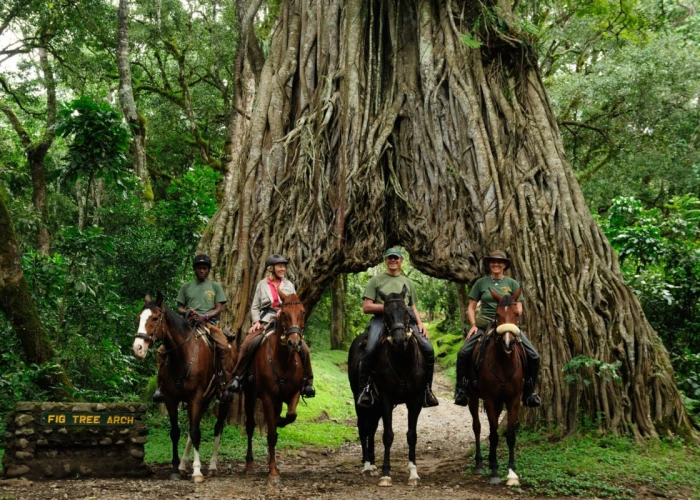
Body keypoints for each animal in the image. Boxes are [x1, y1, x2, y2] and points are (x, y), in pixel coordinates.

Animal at [132, 292, 238, 484]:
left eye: (155, 318)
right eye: (139, 318)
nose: (137, 348)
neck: (182, 357)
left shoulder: (195, 397)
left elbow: (196, 432)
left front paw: (197, 472)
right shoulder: (171, 399)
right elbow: (176, 432)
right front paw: (176, 468)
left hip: (222, 399)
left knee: (217, 427)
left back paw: (212, 466)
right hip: (204, 400)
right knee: (191, 428)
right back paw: (183, 464)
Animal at [242, 292, 304, 482]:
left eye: (303, 312)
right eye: (283, 313)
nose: (294, 343)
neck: (283, 360)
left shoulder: (294, 393)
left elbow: (291, 416)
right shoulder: (268, 397)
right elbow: (271, 434)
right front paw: (273, 472)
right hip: (249, 394)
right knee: (250, 425)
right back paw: (249, 464)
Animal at [348, 288, 426, 486]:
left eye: (406, 311)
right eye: (386, 314)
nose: (399, 340)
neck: (402, 360)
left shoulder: (415, 399)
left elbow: (412, 435)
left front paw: (413, 473)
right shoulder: (385, 398)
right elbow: (388, 435)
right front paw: (385, 473)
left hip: (375, 405)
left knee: (371, 427)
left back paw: (373, 462)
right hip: (360, 399)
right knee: (363, 427)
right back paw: (367, 466)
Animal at [468, 288, 524, 486]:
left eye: (517, 314)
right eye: (498, 315)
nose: (508, 343)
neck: (504, 361)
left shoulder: (514, 399)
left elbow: (510, 435)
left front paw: (512, 472)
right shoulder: (490, 399)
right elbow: (492, 434)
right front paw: (494, 471)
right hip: (473, 397)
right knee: (477, 427)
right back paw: (479, 464)